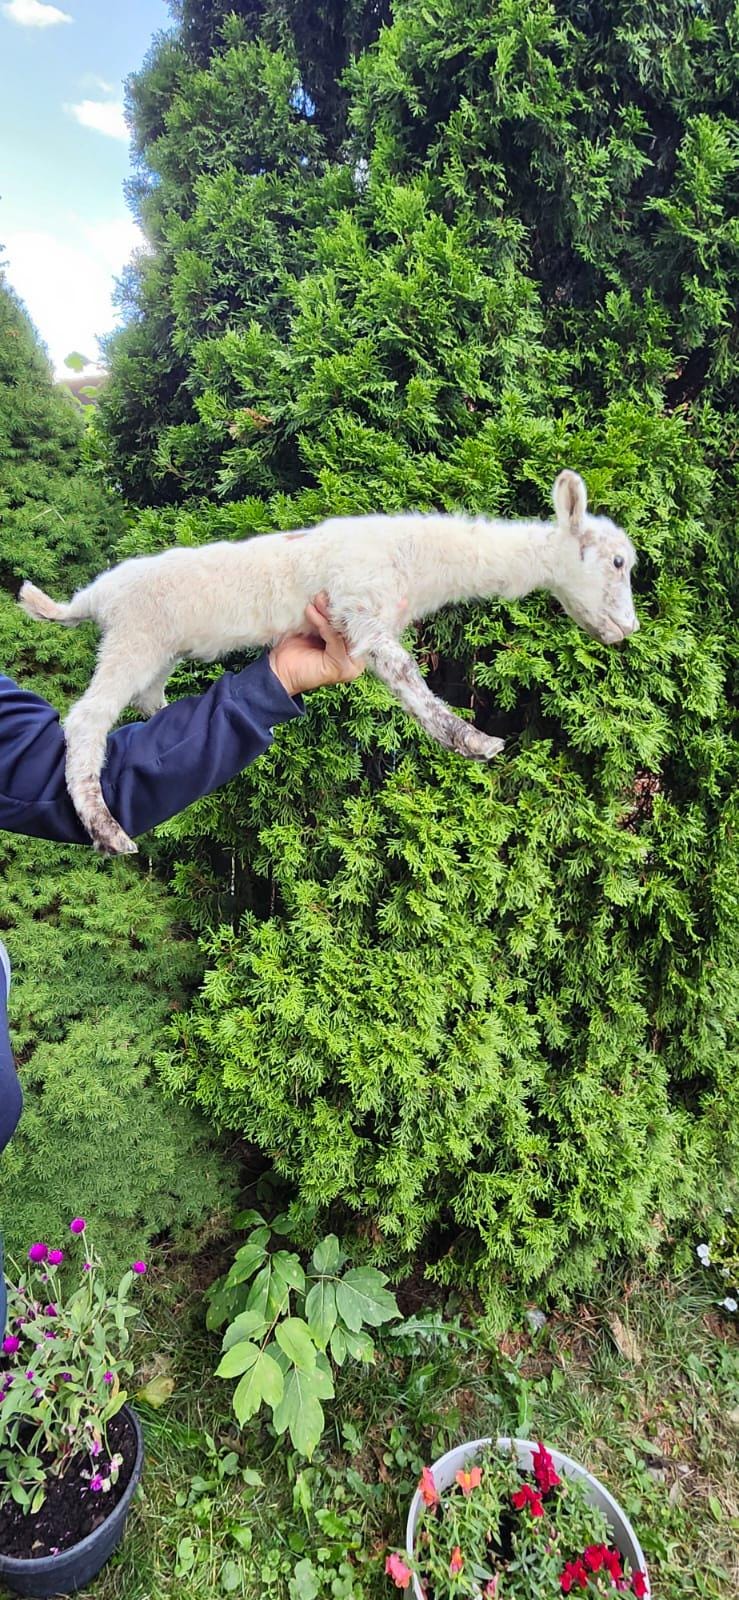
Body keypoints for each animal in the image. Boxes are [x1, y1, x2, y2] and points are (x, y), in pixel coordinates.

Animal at [18, 470, 638, 857]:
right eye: (617, 562)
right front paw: (475, 741)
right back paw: (107, 831)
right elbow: (410, 680)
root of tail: (93, 597)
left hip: (155, 653)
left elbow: (399, 680)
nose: (628, 630)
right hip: (133, 638)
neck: (418, 559)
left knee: (147, 705)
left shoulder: (363, 623)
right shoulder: (359, 606)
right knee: (85, 722)